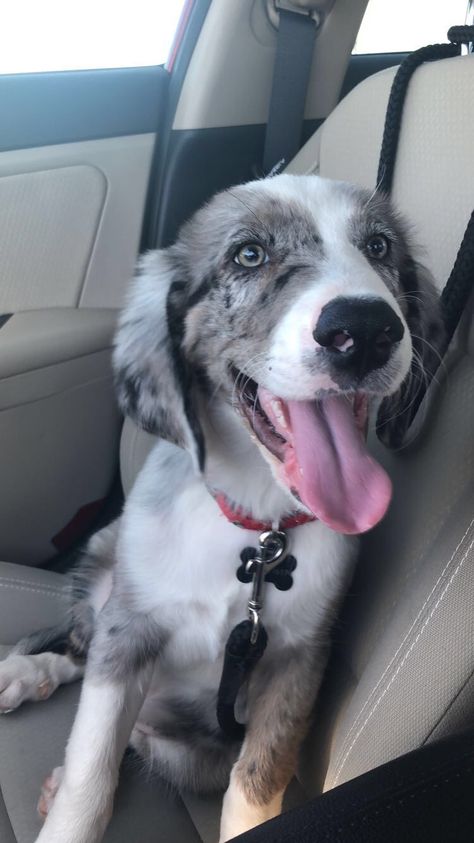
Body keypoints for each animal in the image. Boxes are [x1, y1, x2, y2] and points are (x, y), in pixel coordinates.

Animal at [0, 173, 444, 843]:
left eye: (379, 247)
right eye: (249, 255)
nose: (366, 330)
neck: (257, 533)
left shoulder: (299, 660)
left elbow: (256, 781)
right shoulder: (130, 627)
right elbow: (91, 765)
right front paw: (70, 808)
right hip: (103, 556)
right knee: (82, 647)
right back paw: (27, 673)